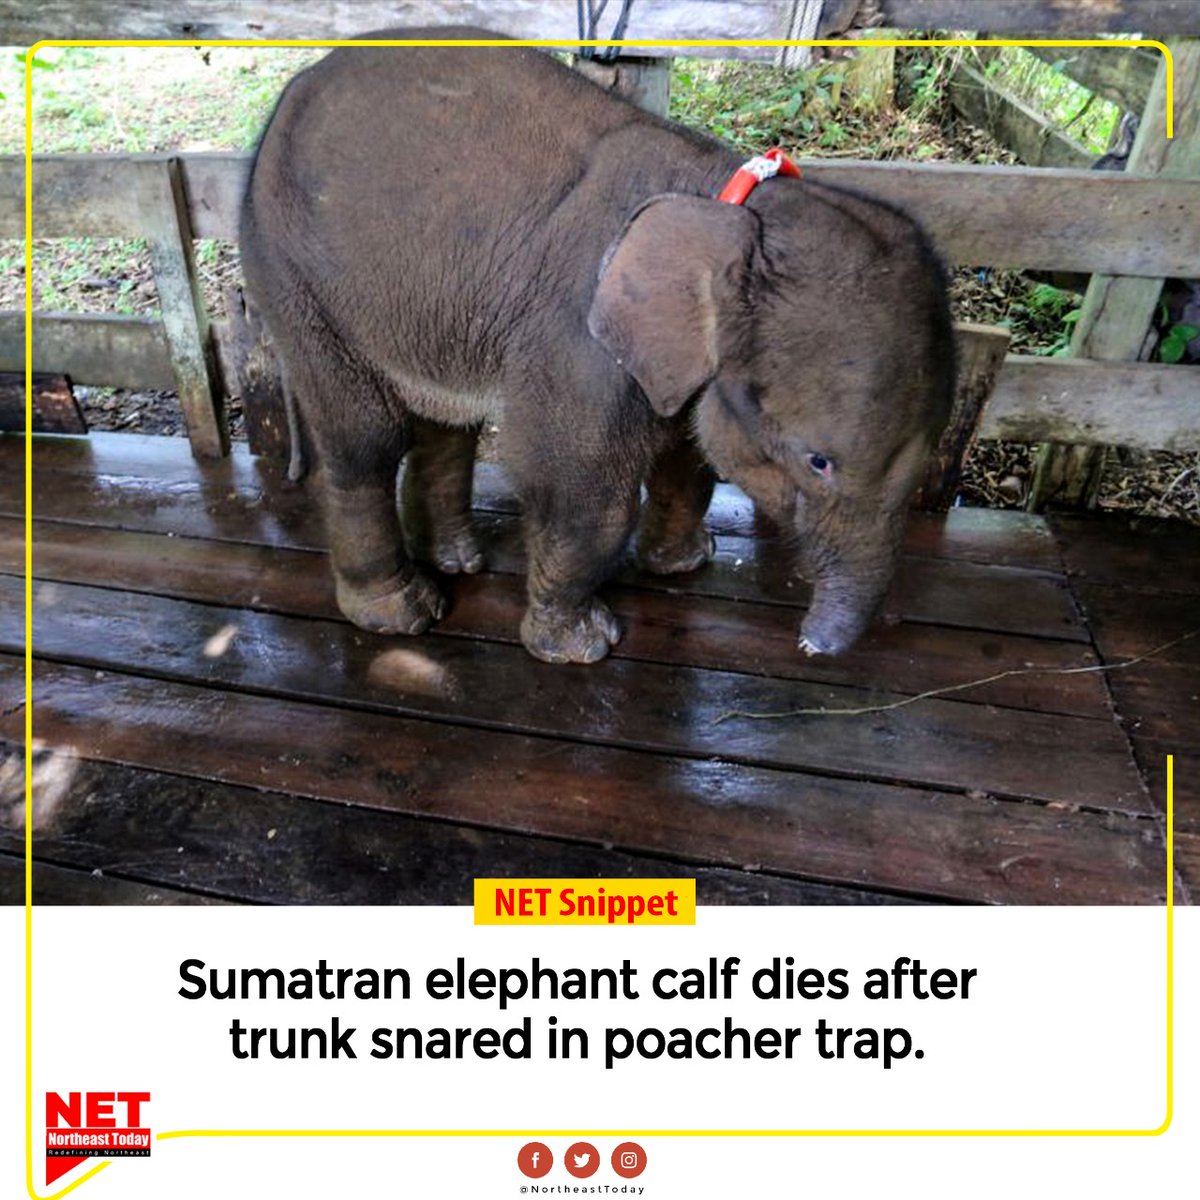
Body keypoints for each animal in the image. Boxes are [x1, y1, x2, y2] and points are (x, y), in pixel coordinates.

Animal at [240, 29, 956, 664]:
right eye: (818, 462)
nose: (809, 646)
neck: (732, 209)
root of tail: (293, 87)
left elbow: (689, 456)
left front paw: (682, 566)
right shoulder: (576, 343)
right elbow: (579, 489)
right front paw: (584, 646)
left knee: (447, 423)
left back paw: (459, 561)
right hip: (293, 273)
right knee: (365, 439)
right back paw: (401, 614)